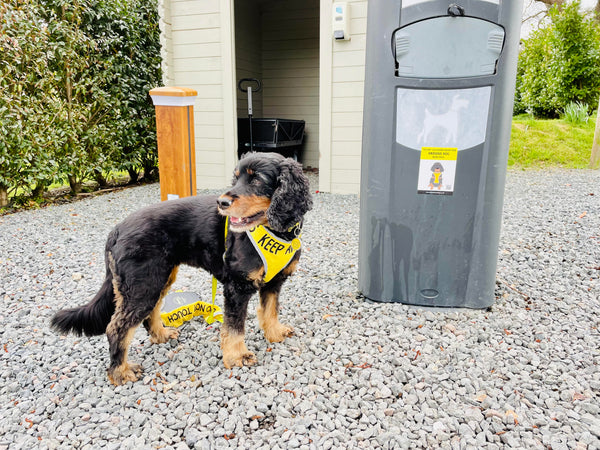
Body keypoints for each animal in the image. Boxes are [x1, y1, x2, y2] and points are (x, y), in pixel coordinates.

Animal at [51, 153, 312, 384]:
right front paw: (237, 356)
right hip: (143, 284)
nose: (222, 202)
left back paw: (160, 335)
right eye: (236, 179)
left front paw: (275, 333)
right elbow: (234, 326)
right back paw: (121, 372)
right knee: (117, 327)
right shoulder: (237, 287)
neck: (275, 231)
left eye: (257, 179)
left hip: (159, 277)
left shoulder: (274, 281)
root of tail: (117, 229)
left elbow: (270, 310)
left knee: (151, 312)